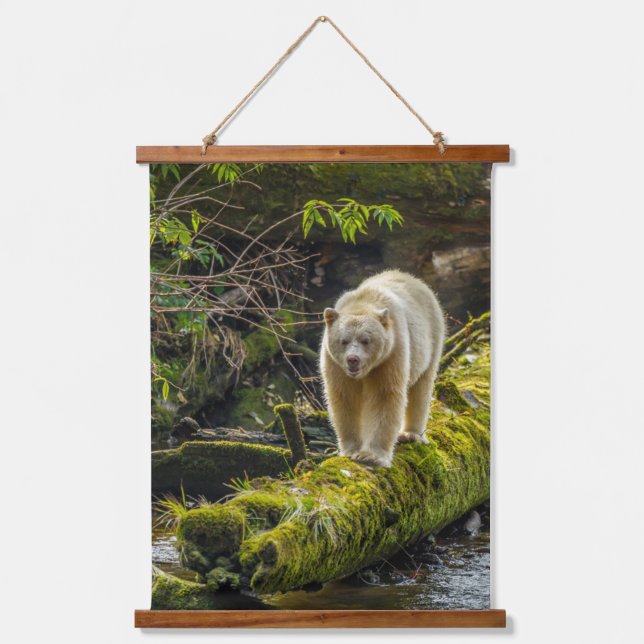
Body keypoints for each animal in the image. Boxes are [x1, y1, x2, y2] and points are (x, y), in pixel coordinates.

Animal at [320, 270, 445, 468]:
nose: (352, 360)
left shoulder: (390, 355)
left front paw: (371, 456)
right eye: (343, 340)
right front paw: (351, 450)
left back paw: (410, 434)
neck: (363, 303)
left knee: (421, 388)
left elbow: (384, 396)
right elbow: (344, 399)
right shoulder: (335, 365)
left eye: (365, 340)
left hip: (430, 340)